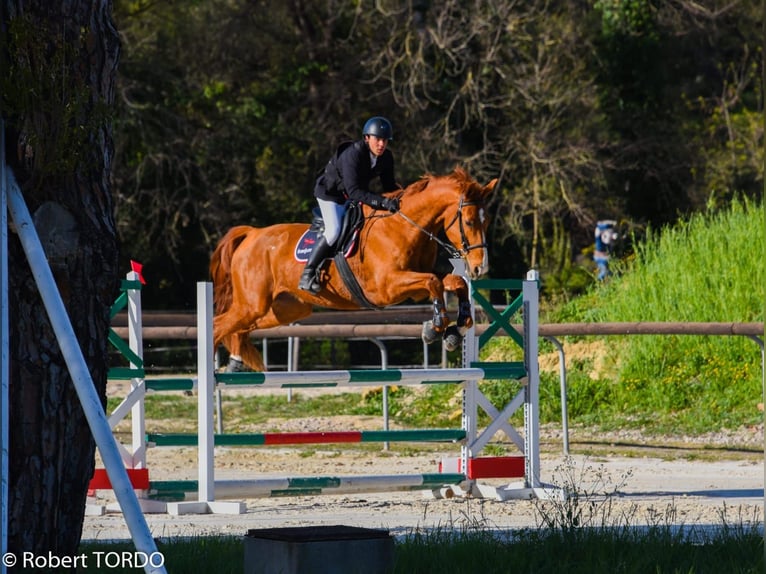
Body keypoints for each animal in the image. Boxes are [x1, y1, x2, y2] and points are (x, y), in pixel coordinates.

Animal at [210, 166, 498, 374]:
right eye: (469, 221)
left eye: (487, 222)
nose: (480, 267)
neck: (406, 227)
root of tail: (252, 234)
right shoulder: (386, 288)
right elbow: (433, 283)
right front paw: (435, 327)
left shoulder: (413, 286)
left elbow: (453, 282)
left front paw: (456, 329)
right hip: (252, 304)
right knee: (217, 325)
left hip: (285, 309)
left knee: (240, 328)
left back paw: (235, 361)